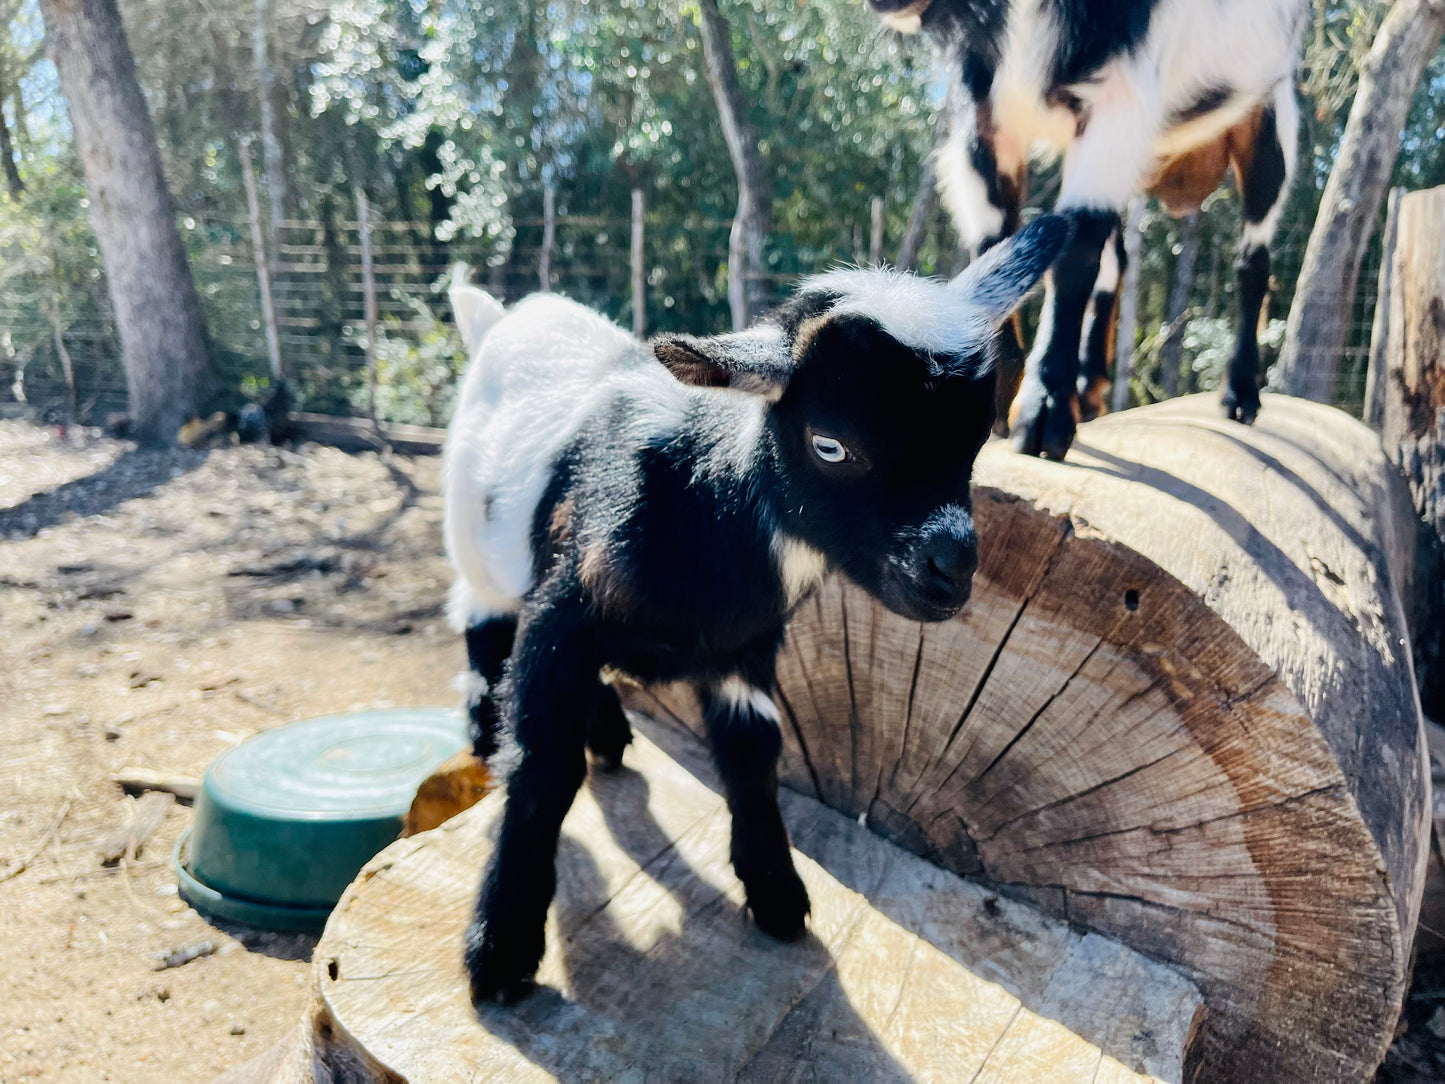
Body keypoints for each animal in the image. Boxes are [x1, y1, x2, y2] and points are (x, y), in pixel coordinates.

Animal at [445, 216, 1069, 1005]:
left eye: (978, 437)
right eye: (830, 444)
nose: (952, 573)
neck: (705, 507)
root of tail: (507, 317)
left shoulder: (746, 651)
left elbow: (751, 757)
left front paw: (776, 892)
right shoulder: (565, 610)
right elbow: (540, 768)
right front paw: (500, 947)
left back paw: (607, 732)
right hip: (478, 543)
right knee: (478, 613)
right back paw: (483, 718)